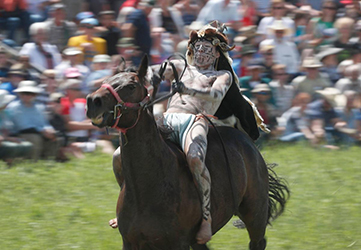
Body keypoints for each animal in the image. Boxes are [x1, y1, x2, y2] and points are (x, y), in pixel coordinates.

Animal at [86, 56, 288, 250]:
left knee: (257, 242)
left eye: (131, 86)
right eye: (107, 80)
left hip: (255, 215)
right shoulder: (130, 242)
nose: (92, 101)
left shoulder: (177, 243)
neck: (147, 189)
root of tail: (247, 141)